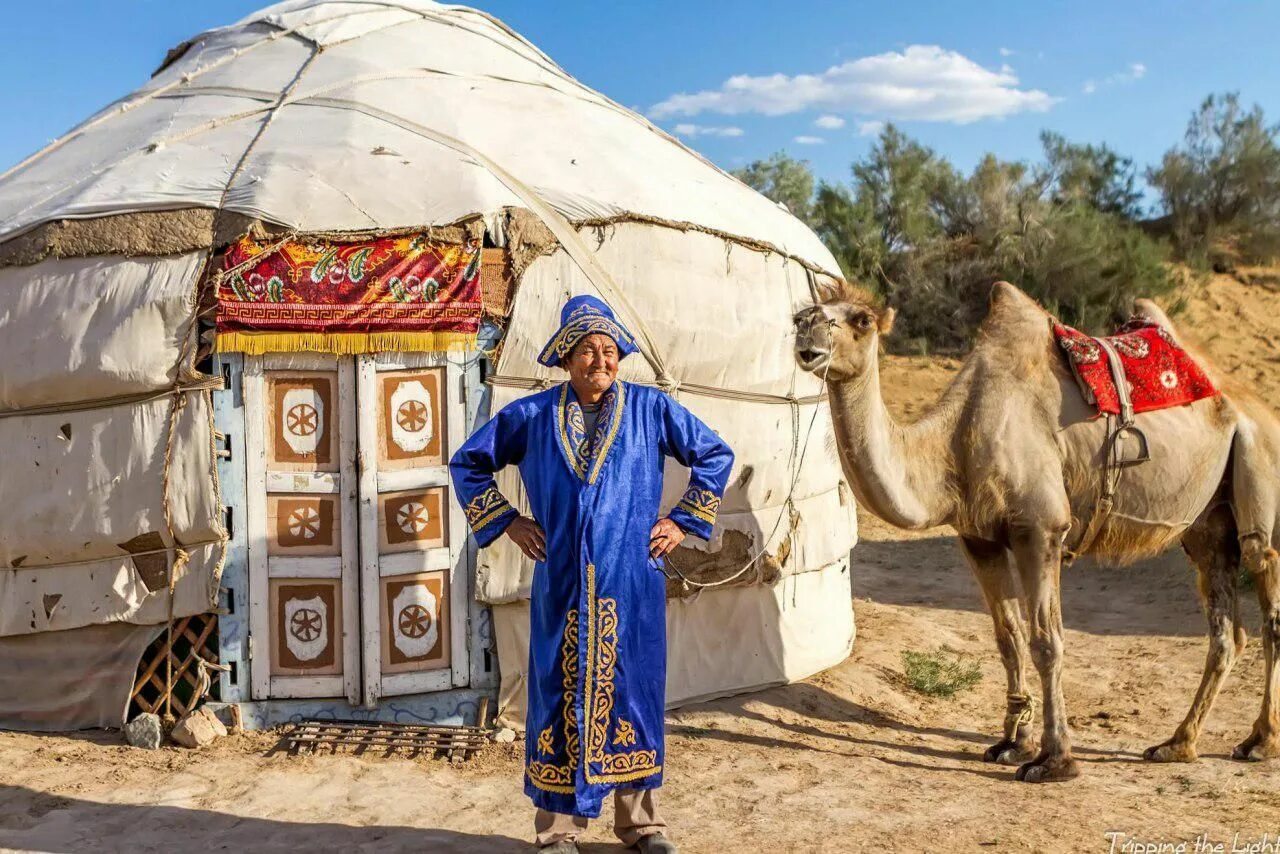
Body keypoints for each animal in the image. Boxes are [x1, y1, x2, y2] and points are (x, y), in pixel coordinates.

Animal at [788, 279, 1280, 783]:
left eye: (861, 320)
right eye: (810, 309)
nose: (805, 322)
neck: (953, 444)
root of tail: (1256, 403)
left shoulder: (1041, 528)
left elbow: (1047, 642)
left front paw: (1054, 760)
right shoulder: (979, 537)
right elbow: (1009, 638)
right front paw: (1012, 743)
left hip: (1256, 455)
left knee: (1264, 573)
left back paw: (1259, 741)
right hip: (1207, 522)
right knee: (1226, 624)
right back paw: (1178, 743)